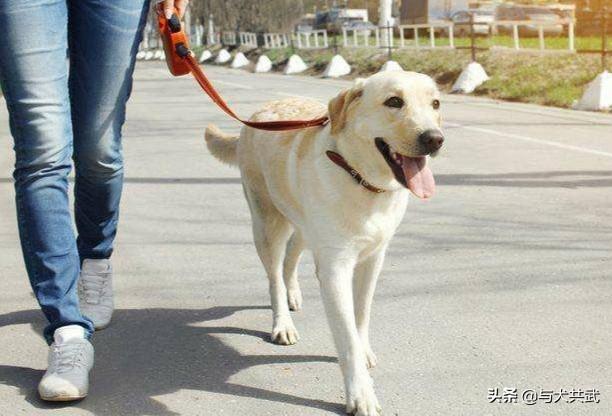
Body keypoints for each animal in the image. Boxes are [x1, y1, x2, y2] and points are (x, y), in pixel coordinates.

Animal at [206, 71, 444, 416]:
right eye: (394, 101)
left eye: (435, 103)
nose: (434, 139)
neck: (362, 180)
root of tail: (258, 114)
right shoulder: (335, 269)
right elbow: (346, 336)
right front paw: (360, 394)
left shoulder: (373, 259)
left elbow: (361, 315)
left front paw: (364, 349)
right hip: (267, 224)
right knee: (274, 276)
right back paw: (283, 322)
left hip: (304, 227)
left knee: (291, 258)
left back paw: (292, 294)